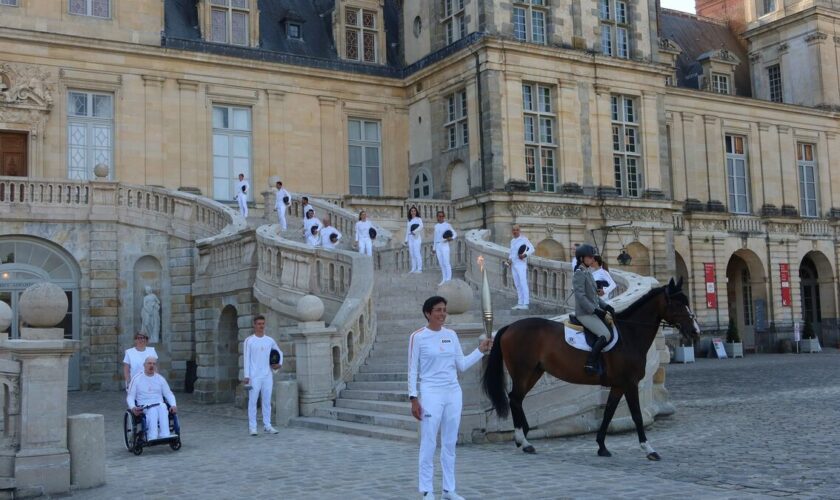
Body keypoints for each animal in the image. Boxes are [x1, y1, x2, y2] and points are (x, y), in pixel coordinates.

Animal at [482, 278, 700, 460]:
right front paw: (649, 449)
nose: (695, 331)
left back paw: (523, 438)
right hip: (523, 371)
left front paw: (602, 446)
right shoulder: (630, 384)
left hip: (534, 372)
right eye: (678, 304)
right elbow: (637, 416)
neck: (630, 334)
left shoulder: (618, 385)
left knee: (517, 399)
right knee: (514, 398)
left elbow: (608, 413)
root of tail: (510, 327)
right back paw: (524, 441)